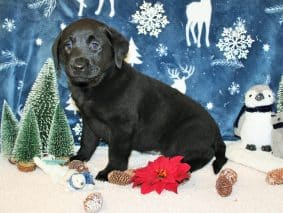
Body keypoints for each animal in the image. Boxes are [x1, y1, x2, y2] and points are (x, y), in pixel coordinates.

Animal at [52, 18, 227, 181]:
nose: (78, 66)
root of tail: (216, 130)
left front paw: (110, 171)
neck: (97, 85)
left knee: (207, 153)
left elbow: (116, 153)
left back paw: (184, 166)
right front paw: (79, 158)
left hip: (183, 137)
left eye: (95, 45)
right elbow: (87, 142)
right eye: (67, 45)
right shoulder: (89, 120)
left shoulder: (122, 127)